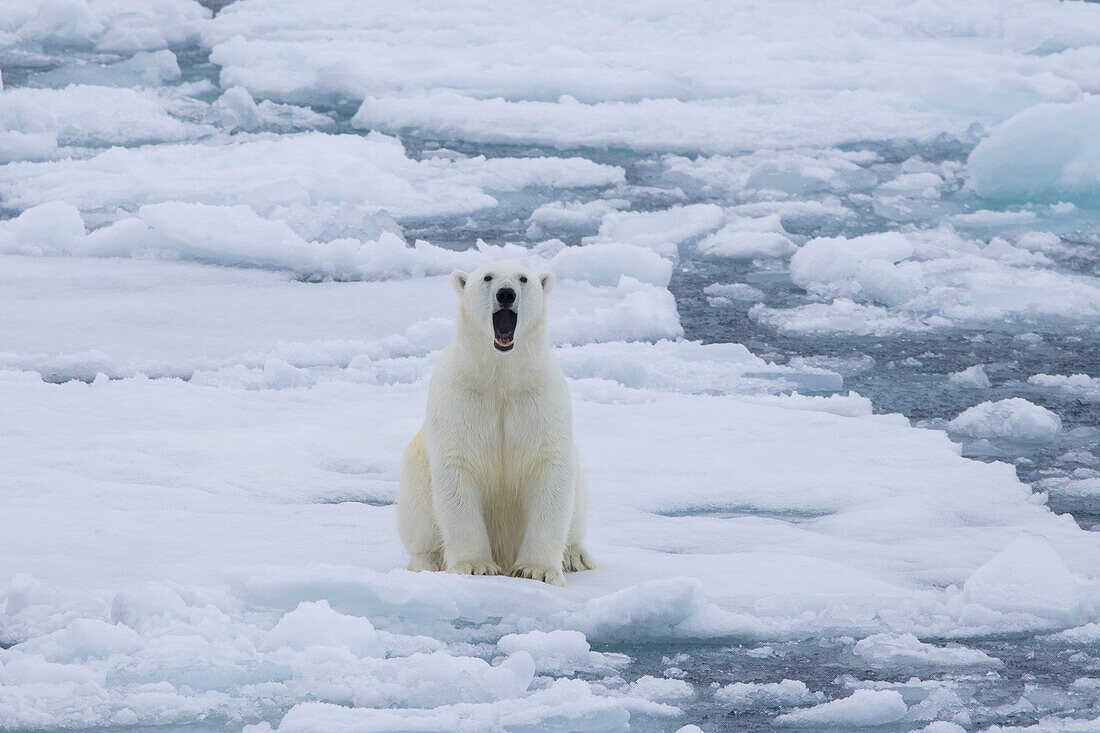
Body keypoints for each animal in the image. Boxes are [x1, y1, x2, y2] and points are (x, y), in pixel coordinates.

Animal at [398, 259, 598, 585]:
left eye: (524, 278)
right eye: (487, 277)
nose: (506, 294)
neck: (501, 377)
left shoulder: (538, 397)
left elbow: (550, 468)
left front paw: (536, 570)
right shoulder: (462, 398)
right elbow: (457, 471)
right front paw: (475, 565)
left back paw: (575, 556)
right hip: (415, 478)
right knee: (418, 518)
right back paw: (428, 560)